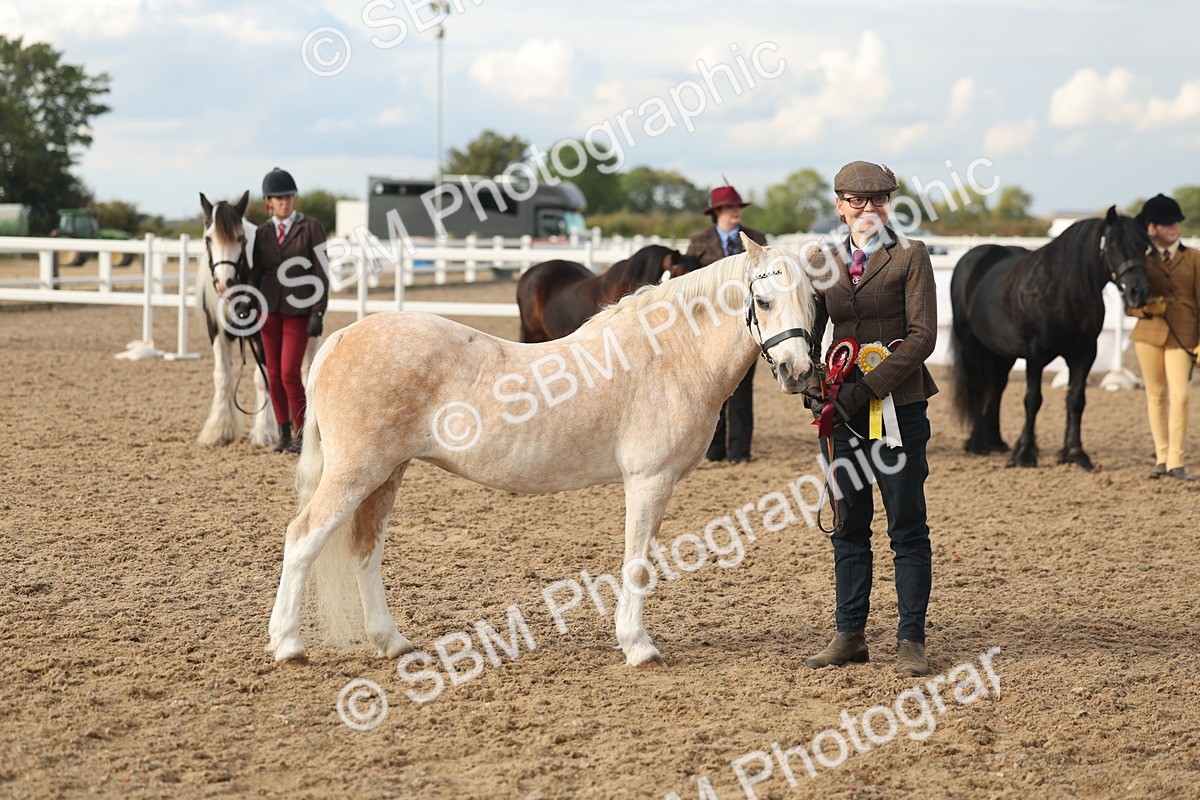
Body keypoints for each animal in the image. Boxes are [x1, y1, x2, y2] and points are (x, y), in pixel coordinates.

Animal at [195, 192, 279, 448]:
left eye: (241, 239)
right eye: (208, 239)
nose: (224, 283)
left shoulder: (262, 335)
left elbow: (263, 378)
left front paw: (265, 431)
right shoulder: (216, 332)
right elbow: (222, 377)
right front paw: (219, 430)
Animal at [949, 206, 1151, 469]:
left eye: (1144, 247)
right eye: (1114, 245)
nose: (1139, 291)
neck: (1061, 293)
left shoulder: (1084, 354)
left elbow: (1076, 400)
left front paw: (1075, 453)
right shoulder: (1035, 355)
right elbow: (1033, 400)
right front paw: (1025, 454)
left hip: (1003, 353)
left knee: (997, 387)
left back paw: (996, 442)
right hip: (971, 344)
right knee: (975, 385)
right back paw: (978, 443)